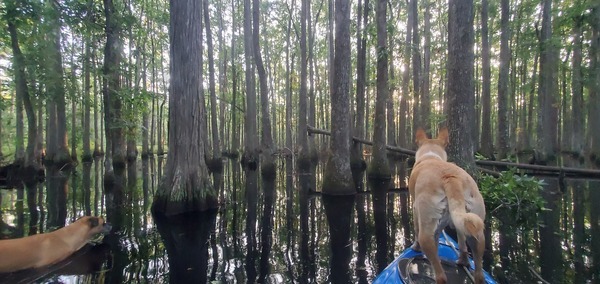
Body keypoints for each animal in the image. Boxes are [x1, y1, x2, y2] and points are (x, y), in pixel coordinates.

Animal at [408, 129, 488, 284]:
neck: (431, 156)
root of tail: (451, 178)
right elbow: (459, 241)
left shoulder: (415, 209)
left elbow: (416, 229)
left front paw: (415, 247)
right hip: (476, 232)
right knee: (478, 272)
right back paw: (464, 263)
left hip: (425, 232)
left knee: (441, 276)